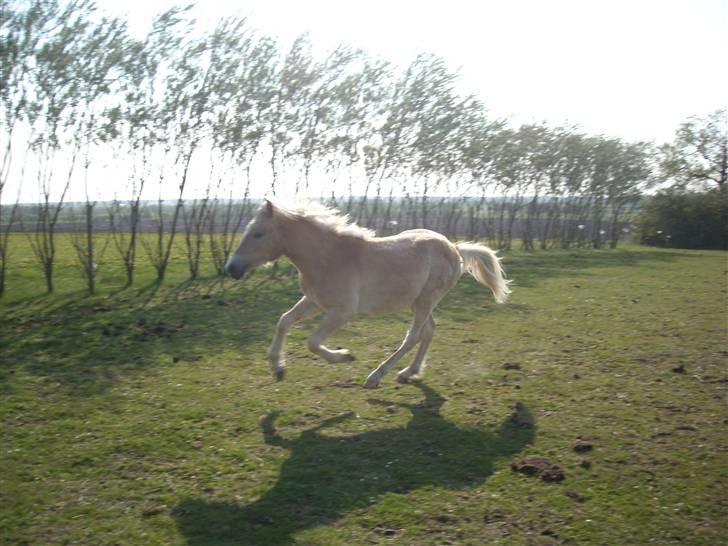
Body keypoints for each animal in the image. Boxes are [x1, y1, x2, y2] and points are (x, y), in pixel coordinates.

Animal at [225, 200, 510, 386]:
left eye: (258, 234)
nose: (231, 268)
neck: (328, 258)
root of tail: (455, 248)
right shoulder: (314, 301)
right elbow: (284, 321)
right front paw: (278, 367)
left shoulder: (342, 311)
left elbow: (312, 342)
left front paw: (344, 356)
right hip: (418, 301)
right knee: (429, 330)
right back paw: (408, 372)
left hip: (426, 300)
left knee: (413, 335)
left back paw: (376, 376)